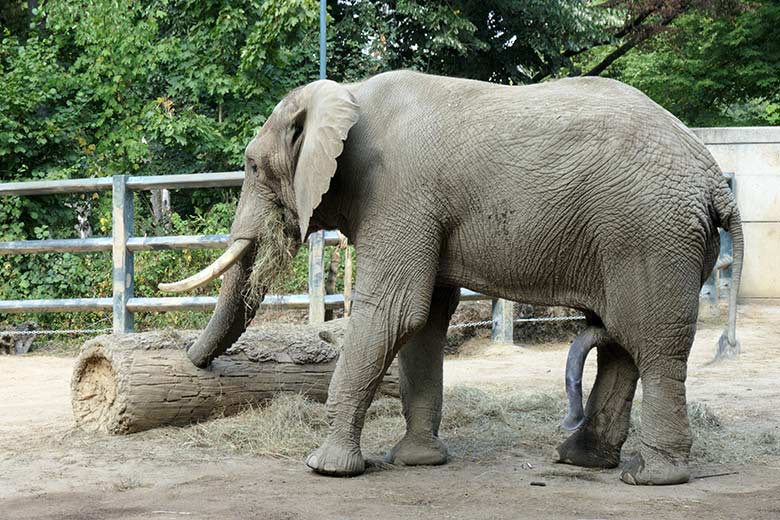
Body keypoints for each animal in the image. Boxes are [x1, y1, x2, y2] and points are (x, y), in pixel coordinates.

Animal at [158, 68, 744, 484]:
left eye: (254, 167)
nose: (193, 362)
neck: (345, 95)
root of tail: (715, 179)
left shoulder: (399, 193)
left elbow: (393, 312)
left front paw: (325, 468)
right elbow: (424, 322)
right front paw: (417, 461)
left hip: (651, 232)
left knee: (651, 343)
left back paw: (654, 478)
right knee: (621, 341)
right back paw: (582, 460)